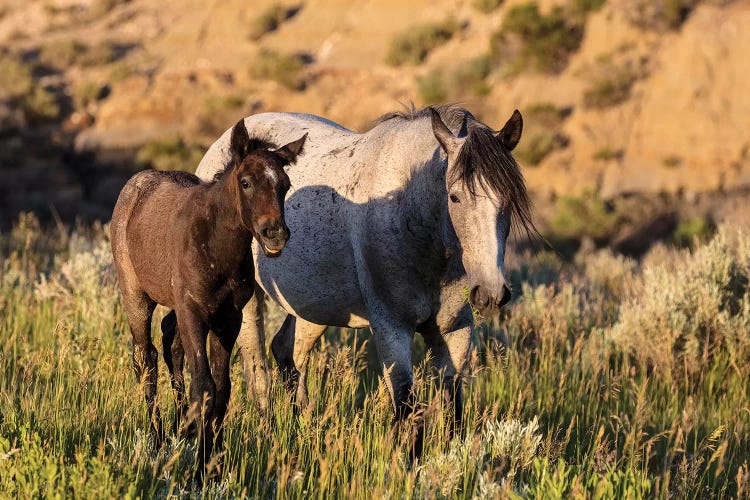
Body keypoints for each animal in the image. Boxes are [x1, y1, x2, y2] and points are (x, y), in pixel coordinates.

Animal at [108, 118, 306, 472]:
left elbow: (223, 388)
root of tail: (135, 184)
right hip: (135, 296)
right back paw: (157, 438)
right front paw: (200, 467)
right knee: (146, 358)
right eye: (245, 182)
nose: (275, 235)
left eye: (285, 184)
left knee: (170, 342)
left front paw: (215, 458)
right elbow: (205, 386)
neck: (215, 246)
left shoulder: (228, 318)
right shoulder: (194, 312)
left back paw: (182, 428)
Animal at [188, 105, 532, 458]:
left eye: (510, 198)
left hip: (313, 308)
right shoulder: (392, 329)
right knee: (258, 370)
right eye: (455, 197)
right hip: (249, 306)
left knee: (287, 353)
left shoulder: (456, 331)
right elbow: (407, 410)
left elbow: (452, 410)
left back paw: (305, 432)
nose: (490, 293)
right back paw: (269, 433)